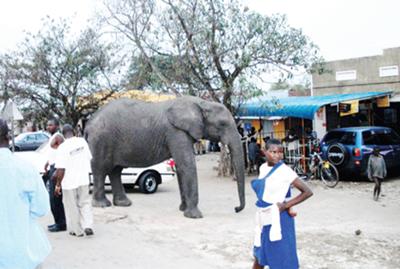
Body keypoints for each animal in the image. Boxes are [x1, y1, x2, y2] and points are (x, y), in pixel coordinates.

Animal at [85, 95, 244, 217]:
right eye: (222, 124)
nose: (236, 209)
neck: (201, 103)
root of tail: (88, 123)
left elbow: (180, 167)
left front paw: (182, 209)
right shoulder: (175, 131)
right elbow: (187, 164)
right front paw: (194, 216)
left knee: (116, 170)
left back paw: (123, 203)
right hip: (101, 139)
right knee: (100, 168)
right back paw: (102, 204)